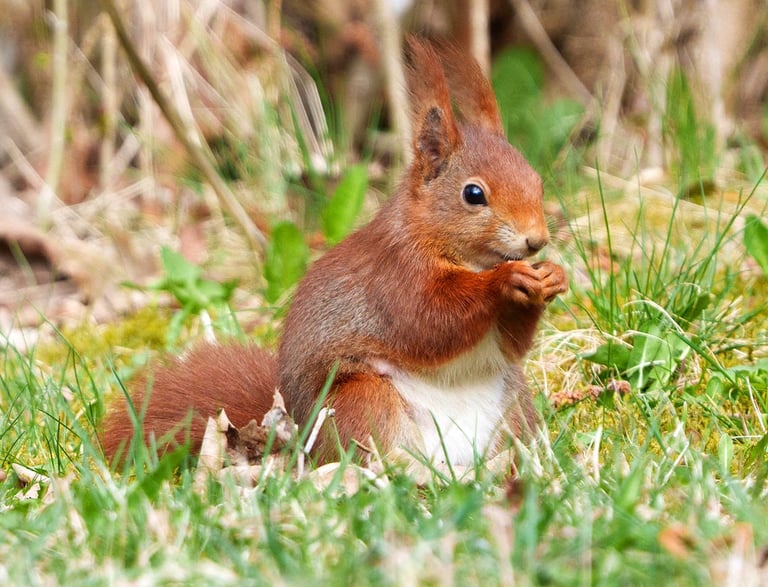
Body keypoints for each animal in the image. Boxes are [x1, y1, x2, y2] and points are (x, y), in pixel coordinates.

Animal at [101, 38, 569, 467]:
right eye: (474, 194)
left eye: (536, 179)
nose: (536, 240)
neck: (468, 258)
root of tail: (298, 439)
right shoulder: (395, 277)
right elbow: (431, 321)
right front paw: (506, 280)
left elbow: (510, 344)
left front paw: (551, 276)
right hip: (362, 401)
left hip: (513, 405)